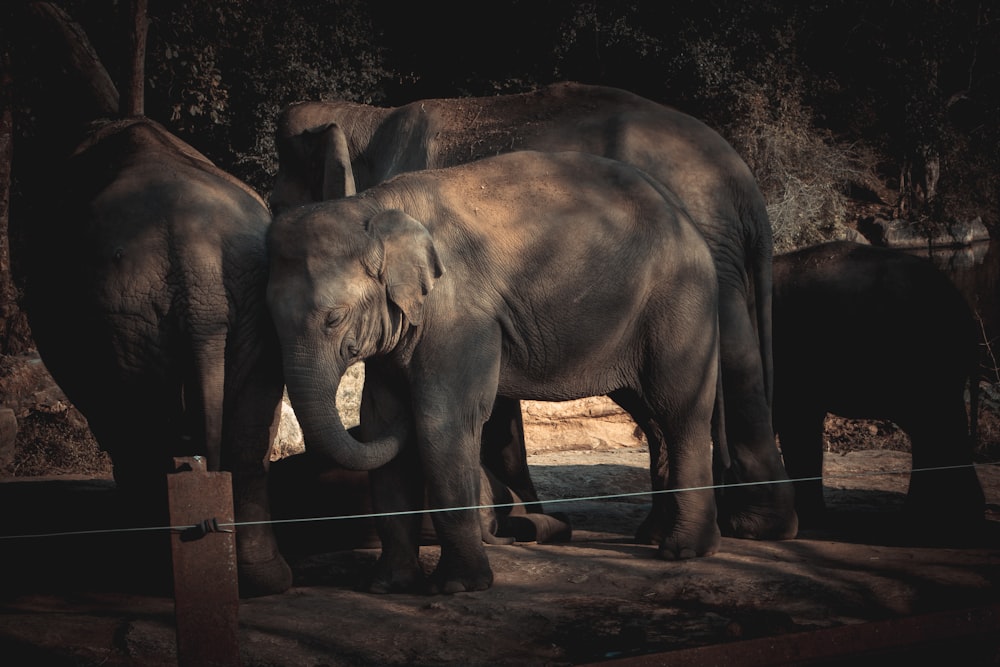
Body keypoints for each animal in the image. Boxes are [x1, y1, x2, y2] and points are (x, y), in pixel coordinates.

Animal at [262, 151, 724, 596]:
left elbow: (442, 419)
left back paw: (684, 550)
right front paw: (385, 587)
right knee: (651, 413)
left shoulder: (460, 313)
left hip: (680, 299)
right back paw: (655, 536)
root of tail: (682, 214)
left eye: (334, 319)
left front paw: (457, 587)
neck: (375, 207)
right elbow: (381, 421)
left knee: (679, 409)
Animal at [268, 81, 796, 540]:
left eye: (276, 201)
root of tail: (747, 191)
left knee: (720, 369)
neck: (364, 116)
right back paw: (675, 530)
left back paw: (750, 528)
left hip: (698, 265)